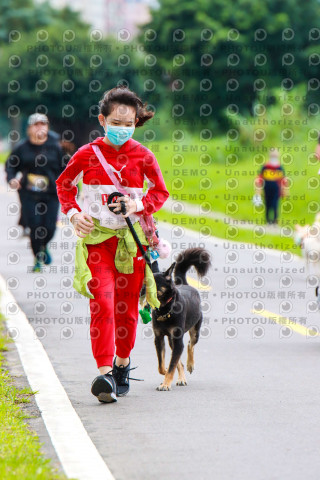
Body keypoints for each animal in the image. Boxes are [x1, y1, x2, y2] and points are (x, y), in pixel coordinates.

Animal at [152, 248, 211, 390]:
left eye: (155, 284)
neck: (165, 310)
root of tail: (184, 284)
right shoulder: (159, 339)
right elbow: (162, 366)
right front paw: (165, 377)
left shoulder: (178, 341)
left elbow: (172, 365)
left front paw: (165, 384)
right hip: (171, 340)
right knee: (179, 360)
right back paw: (181, 377)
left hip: (194, 331)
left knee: (190, 344)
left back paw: (190, 364)